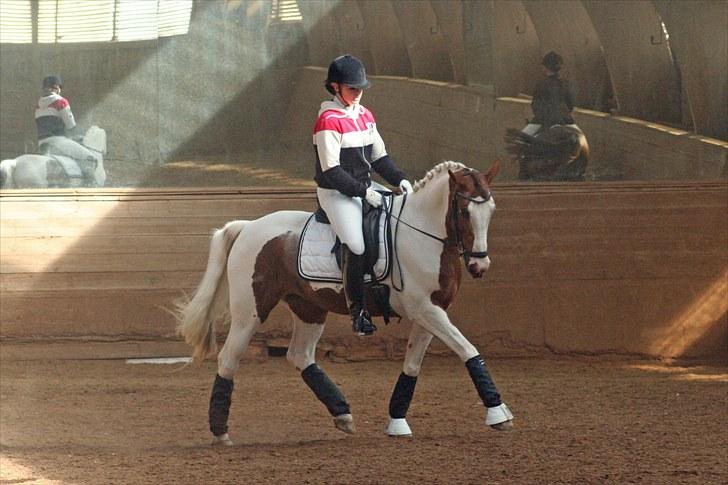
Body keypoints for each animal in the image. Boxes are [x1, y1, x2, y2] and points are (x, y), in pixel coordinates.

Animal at [176, 161, 512, 444]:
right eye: (465, 212)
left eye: (492, 210)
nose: (480, 266)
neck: (423, 235)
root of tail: (248, 226)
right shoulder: (425, 309)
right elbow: (468, 349)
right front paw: (498, 414)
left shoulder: (432, 310)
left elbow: (413, 364)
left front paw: (397, 422)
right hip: (251, 312)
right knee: (229, 358)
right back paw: (220, 432)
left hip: (309, 308)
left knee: (300, 355)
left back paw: (343, 414)